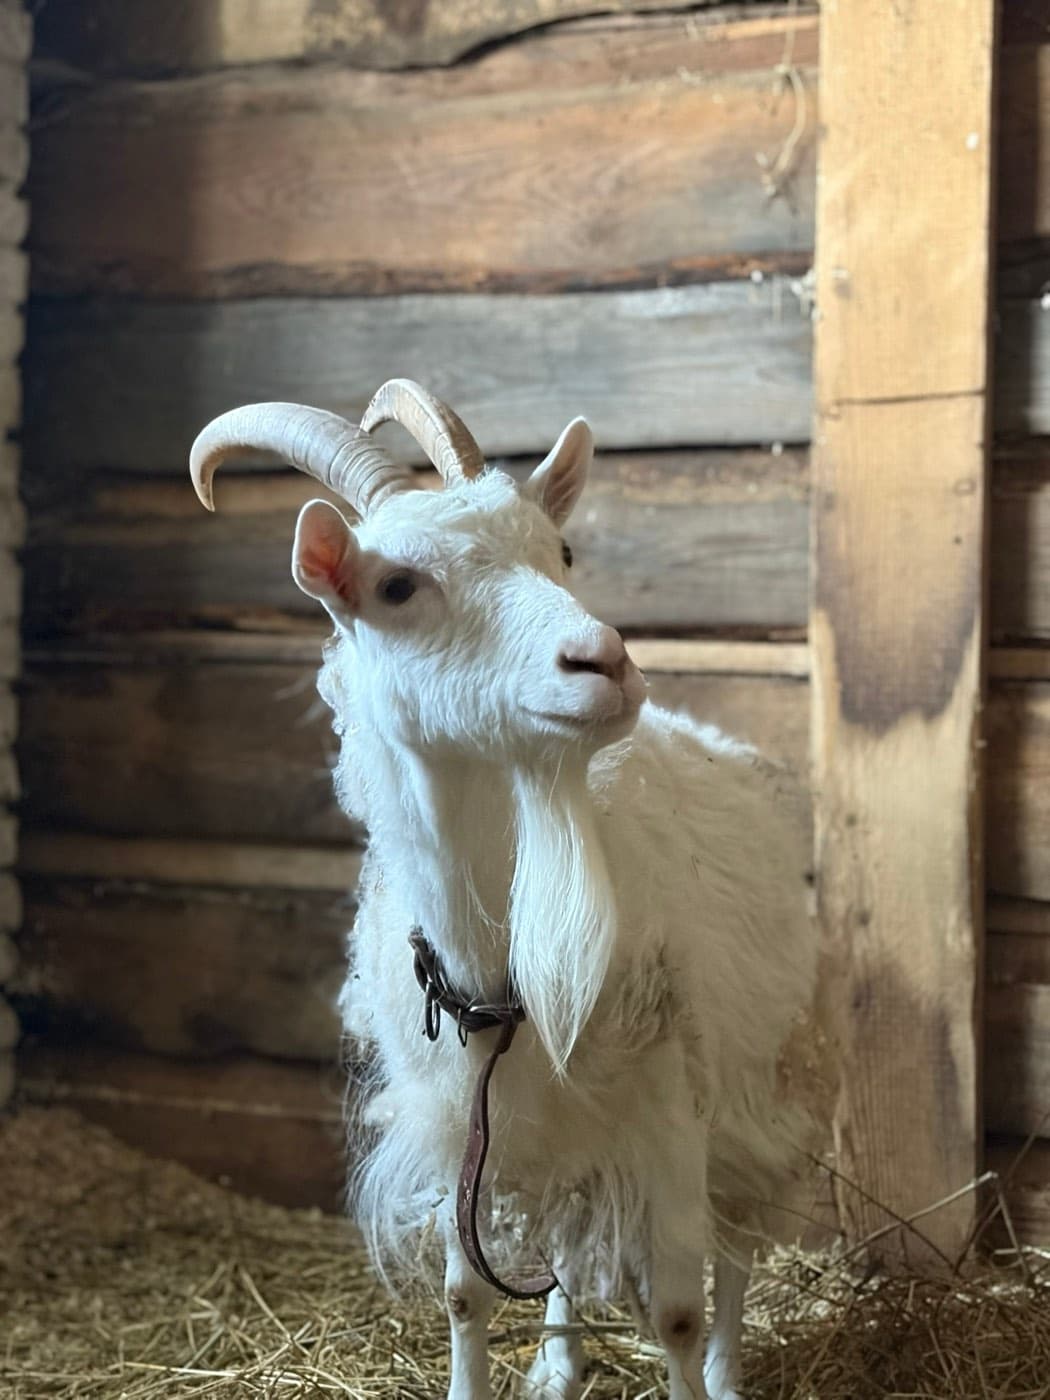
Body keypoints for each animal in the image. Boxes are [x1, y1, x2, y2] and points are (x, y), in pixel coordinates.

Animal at [191, 381, 826, 1400]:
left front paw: (697, 1362)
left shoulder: (669, 1101)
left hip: (751, 1065)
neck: (500, 960)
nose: (603, 661)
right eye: (397, 585)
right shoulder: (467, 1124)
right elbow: (466, 1294)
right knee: (563, 1242)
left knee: (737, 1235)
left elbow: (677, 1310)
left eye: (560, 552)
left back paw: (728, 1370)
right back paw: (560, 1365)